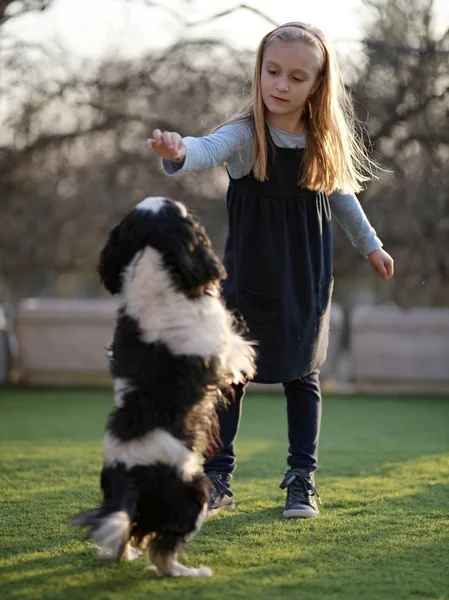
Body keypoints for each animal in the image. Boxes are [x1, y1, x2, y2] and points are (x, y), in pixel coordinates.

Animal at [68, 197, 254, 576]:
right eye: (179, 213)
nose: (173, 198)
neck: (153, 261)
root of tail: (129, 480)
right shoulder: (219, 346)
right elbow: (239, 350)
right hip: (195, 491)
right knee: (163, 551)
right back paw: (189, 573)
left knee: (127, 534)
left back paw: (124, 554)